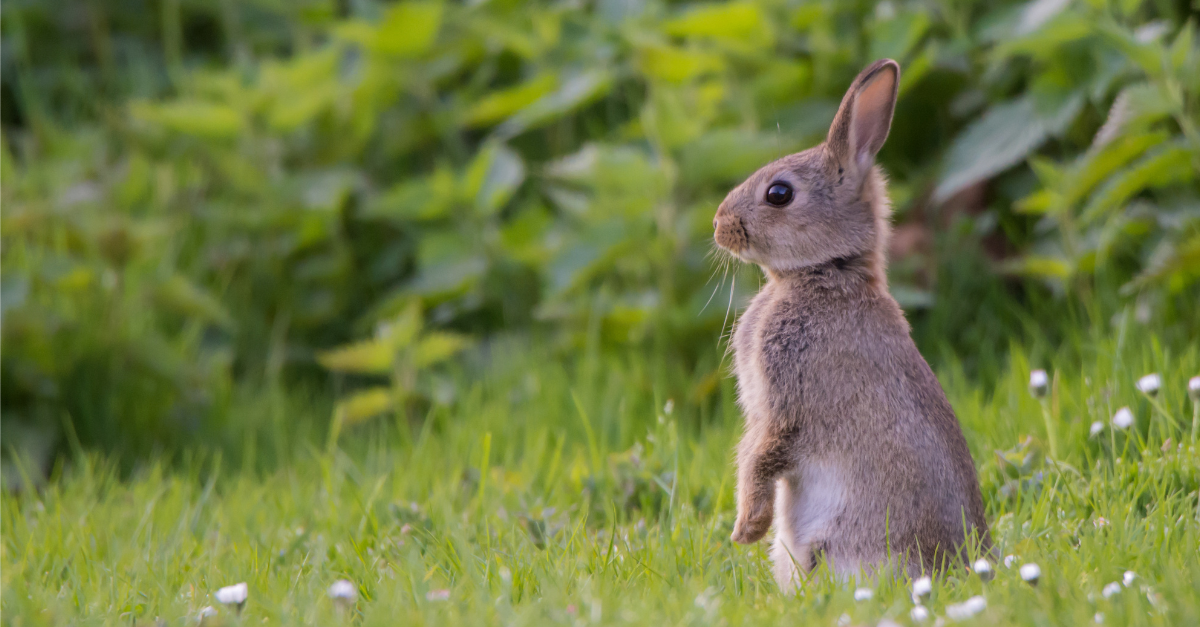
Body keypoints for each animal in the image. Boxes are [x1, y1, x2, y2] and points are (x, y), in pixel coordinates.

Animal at [712, 59, 990, 589]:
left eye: (779, 194)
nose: (719, 226)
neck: (826, 273)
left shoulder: (787, 403)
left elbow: (761, 456)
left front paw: (746, 529)